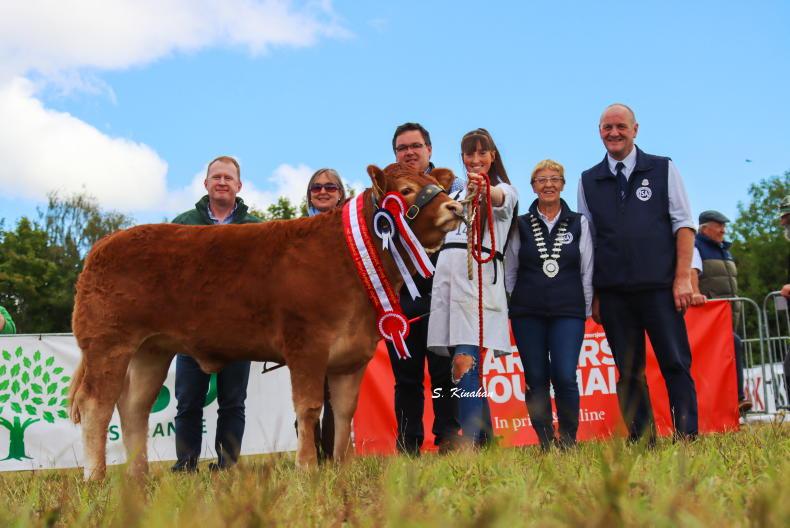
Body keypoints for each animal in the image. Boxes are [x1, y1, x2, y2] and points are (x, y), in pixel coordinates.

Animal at [69, 163, 464, 480]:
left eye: (437, 185)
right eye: (407, 190)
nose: (455, 206)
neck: (349, 257)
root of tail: (104, 244)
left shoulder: (353, 355)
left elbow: (345, 412)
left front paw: (342, 467)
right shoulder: (306, 344)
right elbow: (309, 408)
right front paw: (308, 466)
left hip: (151, 350)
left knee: (134, 407)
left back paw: (138, 476)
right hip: (108, 342)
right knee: (96, 405)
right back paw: (96, 477)